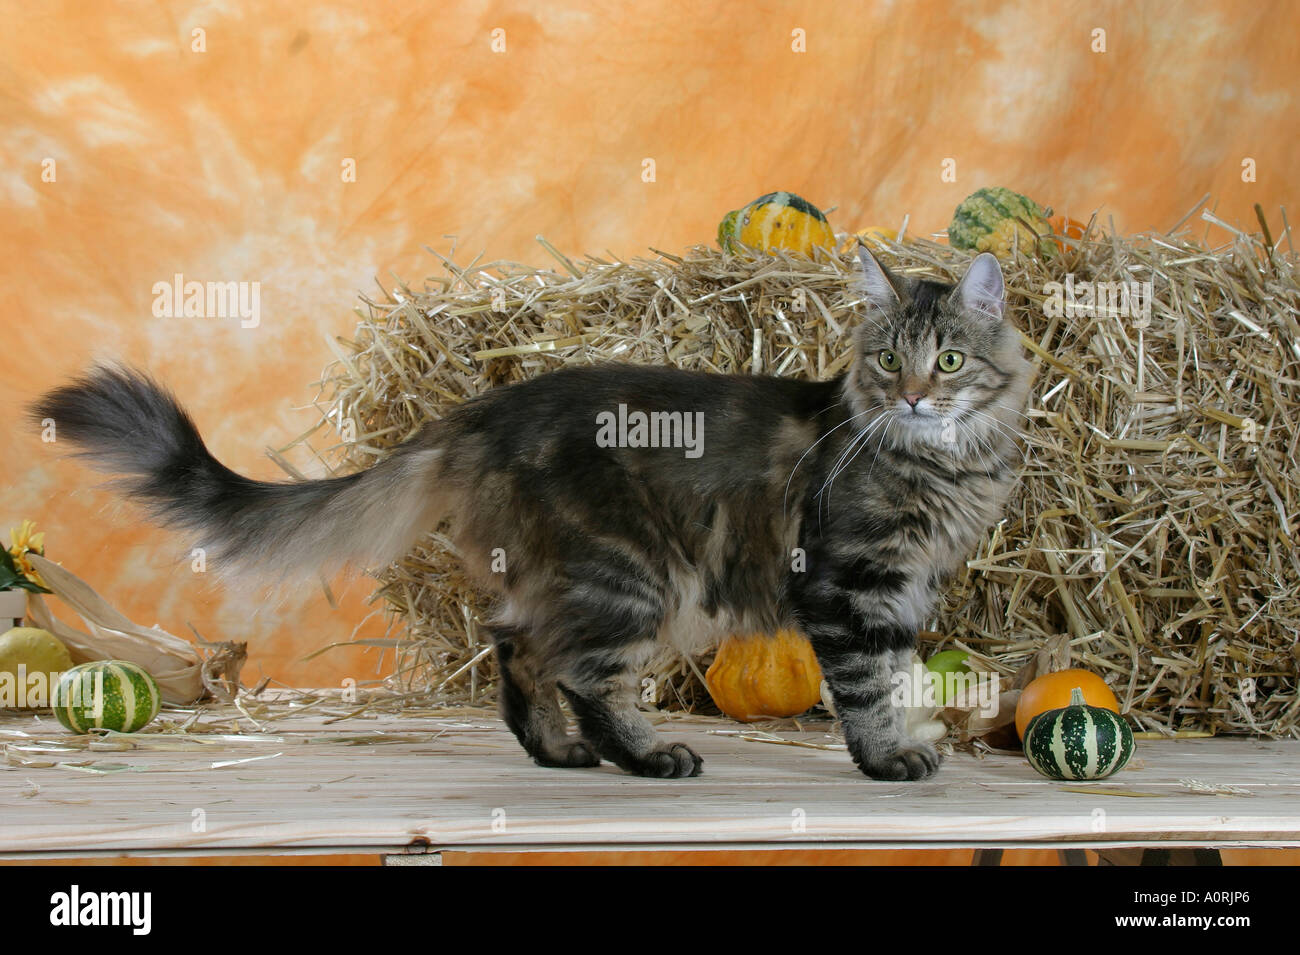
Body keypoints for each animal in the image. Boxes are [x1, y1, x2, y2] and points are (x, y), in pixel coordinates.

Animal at [30, 248, 1029, 784]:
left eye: (947, 359)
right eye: (888, 358)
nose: (911, 394)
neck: (944, 460)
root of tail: (486, 407)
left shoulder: (900, 592)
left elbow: (894, 678)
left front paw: (907, 740)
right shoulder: (851, 587)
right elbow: (865, 686)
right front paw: (887, 758)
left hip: (559, 576)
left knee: (516, 646)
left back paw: (554, 750)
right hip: (632, 576)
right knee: (582, 670)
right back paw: (644, 755)